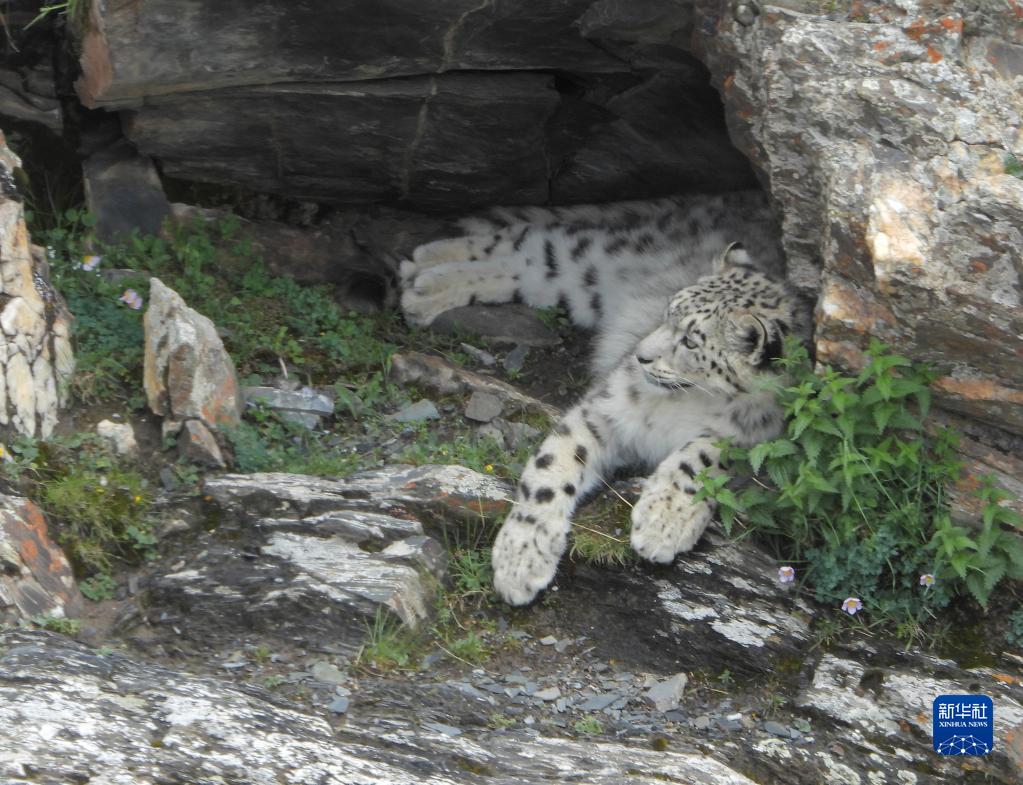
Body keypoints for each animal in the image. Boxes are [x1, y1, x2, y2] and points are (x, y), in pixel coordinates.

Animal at [401, 192, 814, 605]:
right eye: (667, 312)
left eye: (691, 341)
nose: (641, 356)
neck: (689, 403)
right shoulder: (605, 409)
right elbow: (554, 465)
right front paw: (521, 557)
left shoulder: (762, 440)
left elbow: (704, 453)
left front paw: (662, 521)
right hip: (604, 254)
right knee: (529, 242)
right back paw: (422, 272)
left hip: (578, 285)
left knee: (524, 265)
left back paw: (425, 281)